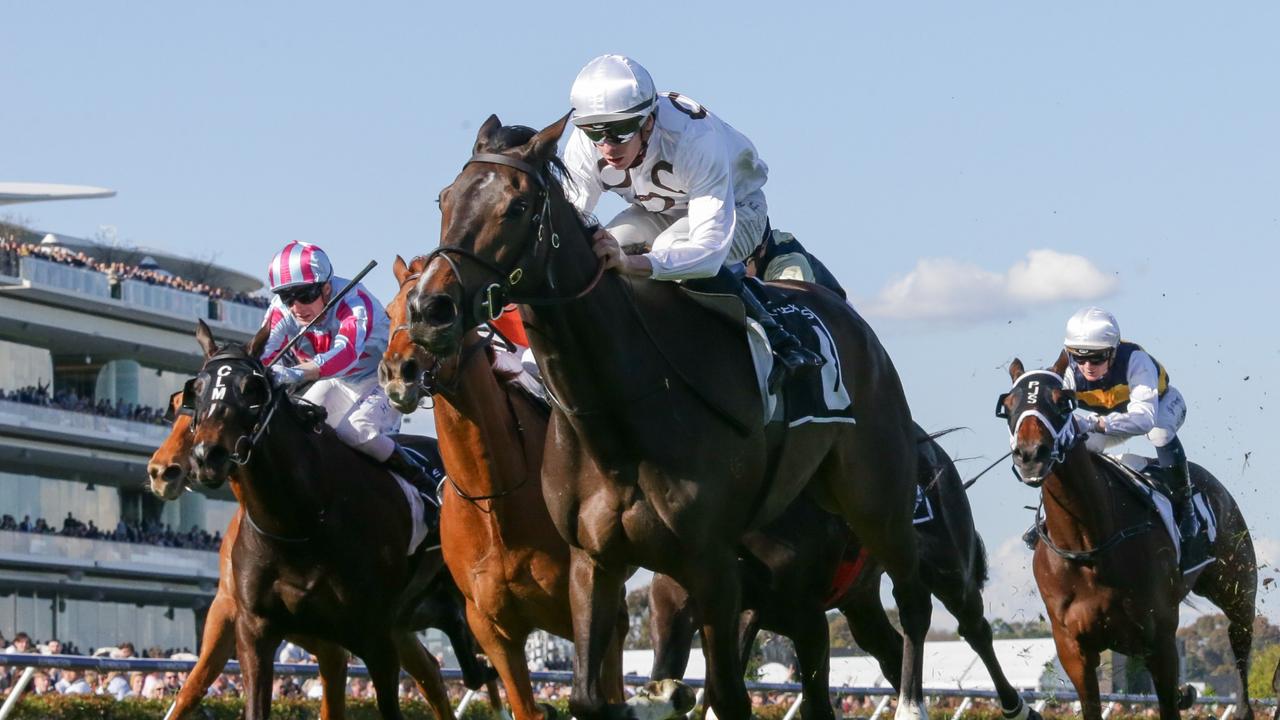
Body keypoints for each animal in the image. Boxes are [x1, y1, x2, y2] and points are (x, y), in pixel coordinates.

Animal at [378, 253, 624, 717]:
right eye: (389, 312)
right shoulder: (492, 628)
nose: (397, 372)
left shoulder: (582, 610)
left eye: (440, 311)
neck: (495, 499)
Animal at [409, 119, 931, 717]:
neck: (619, 417)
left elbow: (728, 695)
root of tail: (851, 320)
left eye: (516, 207)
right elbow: (590, 696)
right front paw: (658, 695)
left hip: (877, 500)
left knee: (913, 600)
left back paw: (912, 703)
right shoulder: (594, 563)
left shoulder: (712, 567)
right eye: (444, 199)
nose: (430, 310)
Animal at [650, 425, 1039, 717]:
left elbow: (815, 706)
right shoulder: (677, 604)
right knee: (891, 649)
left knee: (972, 628)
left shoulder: (805, 619)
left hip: (948, 569)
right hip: (860, 599)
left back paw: (1016, 707)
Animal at [993, 353, 1254, 717]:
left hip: (1238, 590)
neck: (1088, 546)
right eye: (1008, 405)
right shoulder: (1074, 650)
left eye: (1062, 402)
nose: (1031, 455)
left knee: (1241, 645)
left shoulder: (1160, 640)